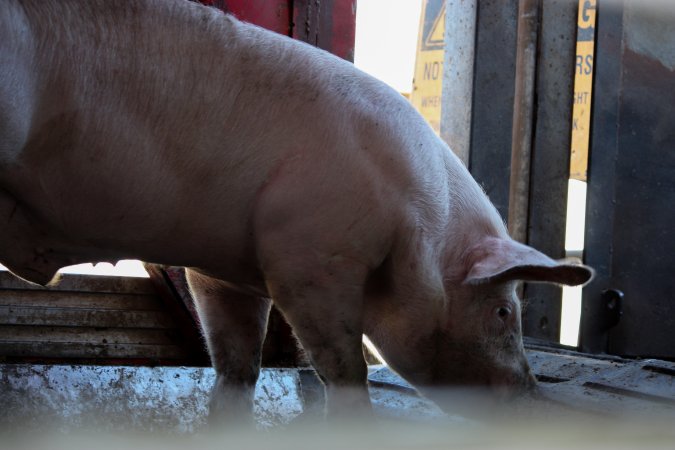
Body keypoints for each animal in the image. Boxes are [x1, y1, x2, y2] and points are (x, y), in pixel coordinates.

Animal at [1, 0, 592, 422]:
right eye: (503, 311)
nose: (532, 392)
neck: (424, 225)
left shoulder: (221, 271)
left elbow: (238, 365)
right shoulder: (309, 258)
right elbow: (343, 367)